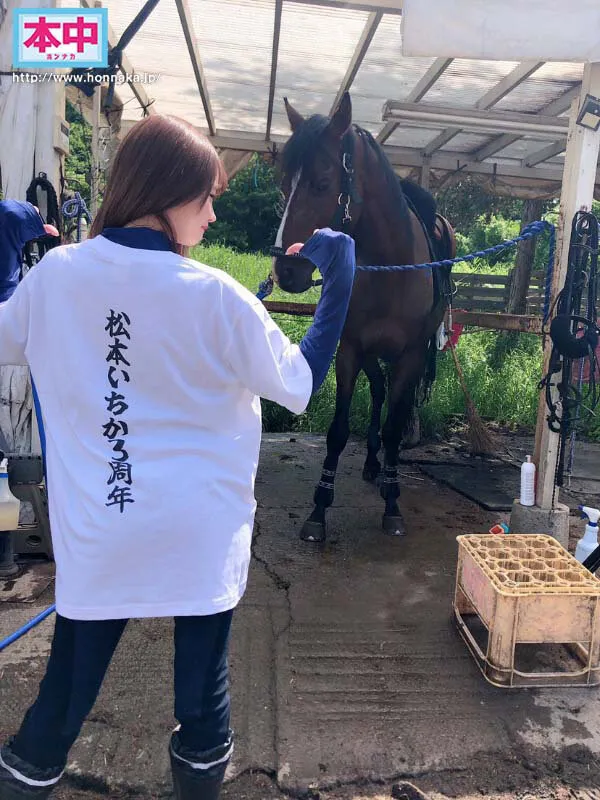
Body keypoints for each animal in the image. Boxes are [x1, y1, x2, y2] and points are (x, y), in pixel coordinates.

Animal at [272, 92, 456, 543]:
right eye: (283, 184)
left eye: (322, 183)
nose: (286, 269)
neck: (393, 266)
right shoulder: (351, 349)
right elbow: (338, 430)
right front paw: (318, 510)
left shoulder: (409, 356)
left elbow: (394, 425)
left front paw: (393, 504)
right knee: (377, 391)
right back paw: (373, 463)